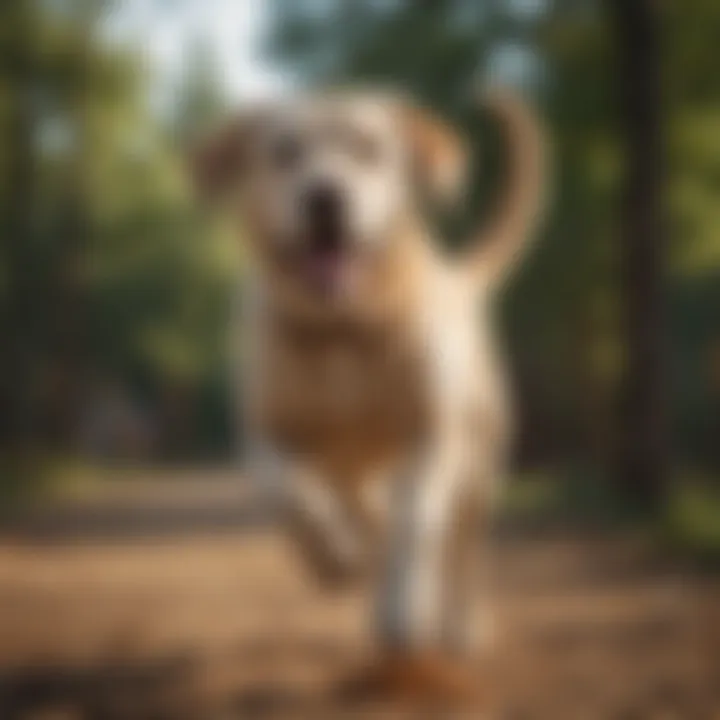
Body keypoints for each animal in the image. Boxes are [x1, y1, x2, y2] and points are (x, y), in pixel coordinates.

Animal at [194, 87, 544, 700]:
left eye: (369, 149)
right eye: (284, 152)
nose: (325, 197)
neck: (343, 330)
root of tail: (458, 278)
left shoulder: (429, 437)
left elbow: (414, 530)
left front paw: (402, 612)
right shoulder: (264, 431)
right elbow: (285, 493)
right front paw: (332, 560)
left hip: (481, 466)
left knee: (460, 550)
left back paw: (456, 624)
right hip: (353, 471)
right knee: (365, 514)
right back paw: (358, 553)